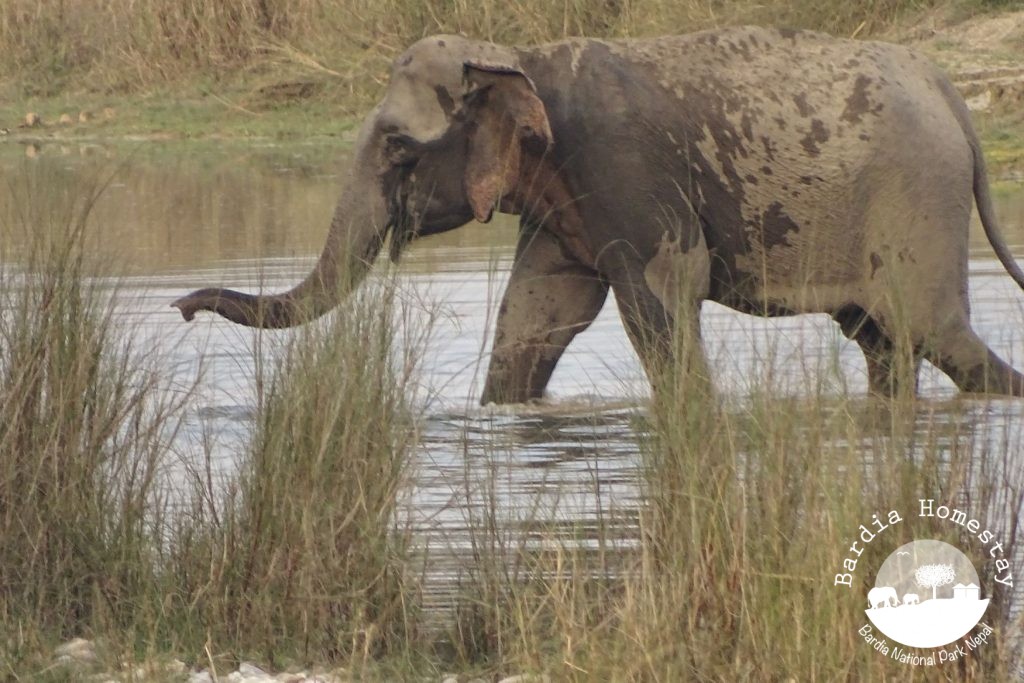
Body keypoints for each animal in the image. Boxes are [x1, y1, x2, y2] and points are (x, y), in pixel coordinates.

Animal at [172, 26, 1024, 404]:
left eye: (398, 149)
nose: (180, 306)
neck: (521, 60)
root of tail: (952, 92)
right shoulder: (560, 207)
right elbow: (534, 317)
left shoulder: (624, 171)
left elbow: (662, 300)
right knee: (882, 340)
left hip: (916, 200)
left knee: (934, 332)